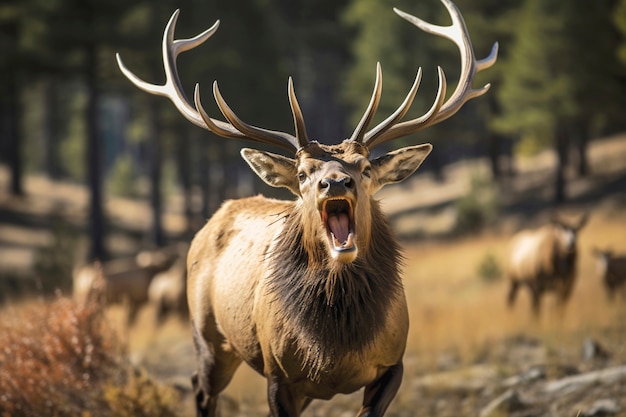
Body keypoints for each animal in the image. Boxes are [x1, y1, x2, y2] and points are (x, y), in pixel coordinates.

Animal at [116, 1, 498, 414]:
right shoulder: (278, 374)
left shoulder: (393, 363)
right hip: (206, 333)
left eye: (365, 168)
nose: (336, 181)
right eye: (302, 173)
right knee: (201, 389)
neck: (335, 348)